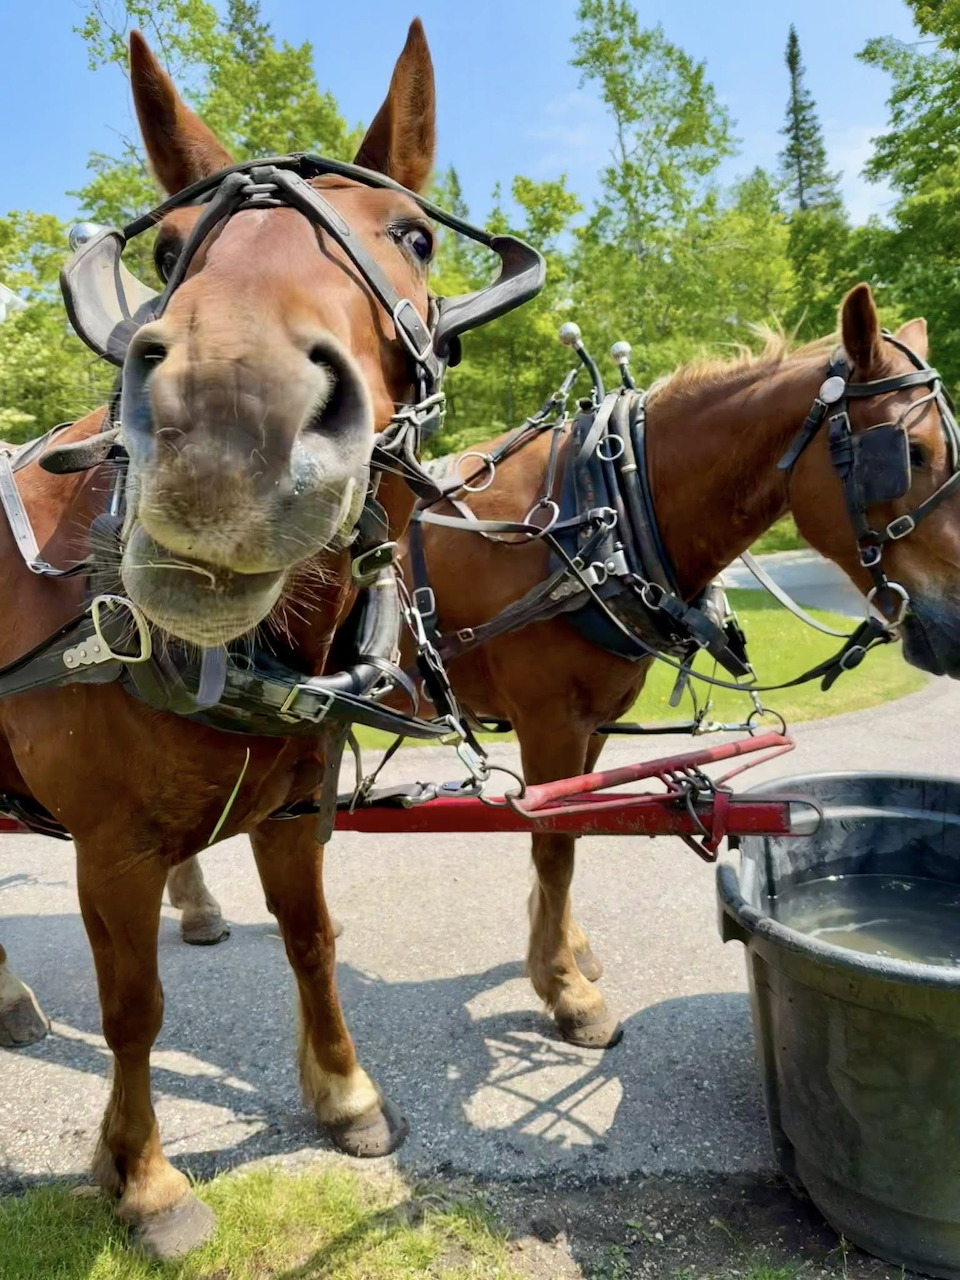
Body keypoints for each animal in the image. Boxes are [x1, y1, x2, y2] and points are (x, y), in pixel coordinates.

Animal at [0, 19, 450, 1258]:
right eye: (169, 257)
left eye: (414, 237)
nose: (224, 428)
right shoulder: (108, 843)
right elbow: (134, 1008)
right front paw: (144, 1177)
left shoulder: (295, 806)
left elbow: (311, 937)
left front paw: (345, 1093)